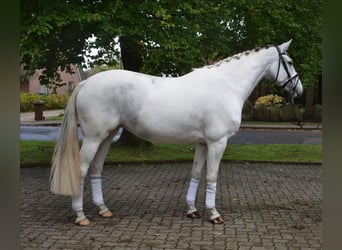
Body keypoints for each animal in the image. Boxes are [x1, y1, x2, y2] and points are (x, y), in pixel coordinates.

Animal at [50, 40, 302, 225]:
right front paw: (214, 214)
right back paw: (81, 216)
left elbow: (196, 173)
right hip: (93, 138)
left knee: (96, 169)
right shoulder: (217, 142)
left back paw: (103, 210)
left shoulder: (202, 143)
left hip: (108, 136)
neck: (226, 85)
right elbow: (211, 177)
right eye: (289, 61)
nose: (298, 90)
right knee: (81, 170)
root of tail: (85, 84)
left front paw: (192, 210)